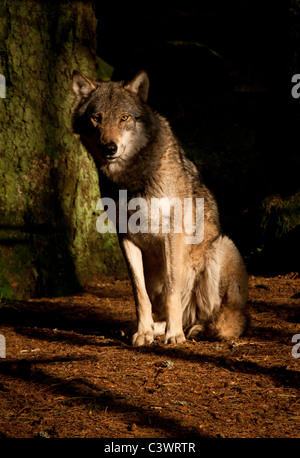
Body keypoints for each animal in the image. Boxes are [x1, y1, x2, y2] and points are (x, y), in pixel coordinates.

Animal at [71, 70, 247, 346]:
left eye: (124, 118)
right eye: (96, 118)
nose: (110, 148)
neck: (132, 179)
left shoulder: (171, 234)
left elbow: (173, 290)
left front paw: (174, 336)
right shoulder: (126, 237)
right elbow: (139, 293)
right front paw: (143, 332)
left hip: (221, 247)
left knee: (221, 320)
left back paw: (192, 330)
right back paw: (148, 328)